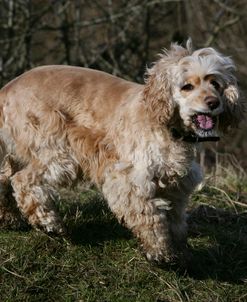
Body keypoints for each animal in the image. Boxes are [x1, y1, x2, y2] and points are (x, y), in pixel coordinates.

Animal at [0, 40, 243, 264]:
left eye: (215, 83)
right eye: (187, 87)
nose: (213, 102)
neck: (166, 126)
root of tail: (7, 89)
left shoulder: (176, 185)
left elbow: (175, 221)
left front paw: (180, 251)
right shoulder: (131, 178)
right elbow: (149, 217)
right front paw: (159, 252)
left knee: (5, 179)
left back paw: (10, 219)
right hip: (57, 151)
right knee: (23, 180)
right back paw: (48, 223)